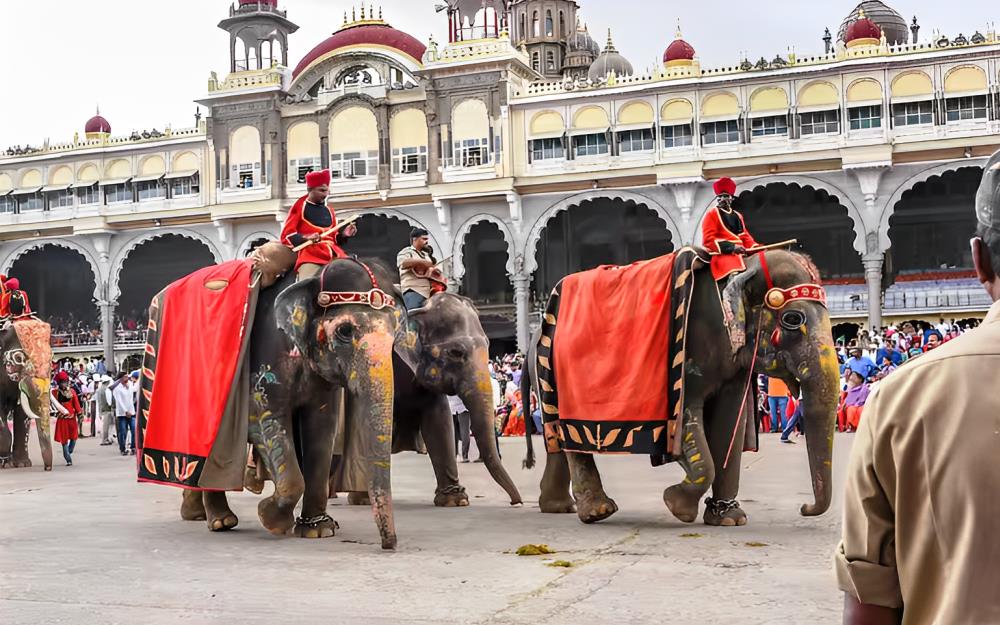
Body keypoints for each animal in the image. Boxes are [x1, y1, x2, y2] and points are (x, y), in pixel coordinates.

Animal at [0, 320, 54, 470]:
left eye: (52, 357)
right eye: (18, 358)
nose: (47, 468)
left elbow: (23, 413)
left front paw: (22, 464)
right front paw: (5, 464)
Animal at [332, 292, 524, 508]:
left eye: (488, 345)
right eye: (456, 352)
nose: (515, 502)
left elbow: (439, 419)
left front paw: (455, 500)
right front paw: (367, 498)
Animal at [524, 249, 844, 528]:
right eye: (793, 319)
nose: (804, 508)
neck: (740, 264)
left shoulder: (734, 361)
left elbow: (730, 422)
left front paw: (729, 519)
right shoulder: (690, 351)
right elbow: (692, 417)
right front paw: (677, 506)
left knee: (558, 440)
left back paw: (559, 507)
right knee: (569, 439)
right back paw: (597, 512)